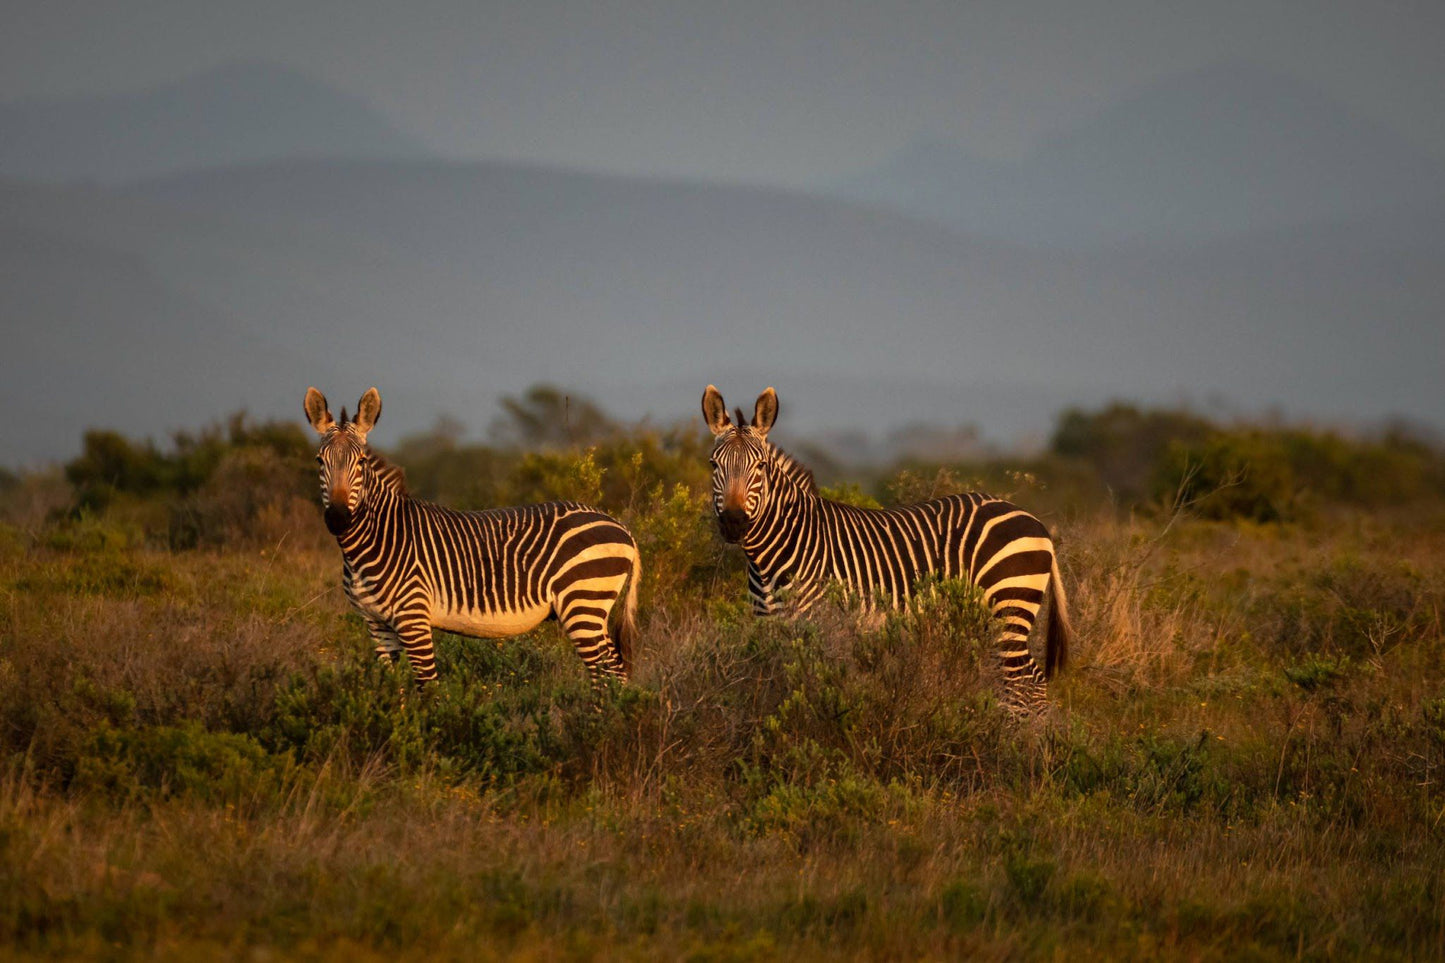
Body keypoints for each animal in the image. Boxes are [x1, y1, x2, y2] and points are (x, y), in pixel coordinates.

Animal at [307, 387, 641, 685]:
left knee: (607, 674)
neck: (377, 539)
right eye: (319, 461)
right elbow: (393, 690)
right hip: (591, 609)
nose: (338, 518)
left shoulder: (413, 616)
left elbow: (426, 685)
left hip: (582, 603)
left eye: (361, 461)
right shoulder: (376, 625)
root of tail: (622, 528)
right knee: (613, 671)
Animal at [699, 384, 1075, 711]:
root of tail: (1032, 519)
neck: (774, 556)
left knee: (1027, 683)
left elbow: (809, 692)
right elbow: (775, 692)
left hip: (1007, 610)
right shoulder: (770, 630)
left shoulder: (821, 627)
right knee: (1025, 682)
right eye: (713, 465)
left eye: (760, 466)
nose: (733, 522)